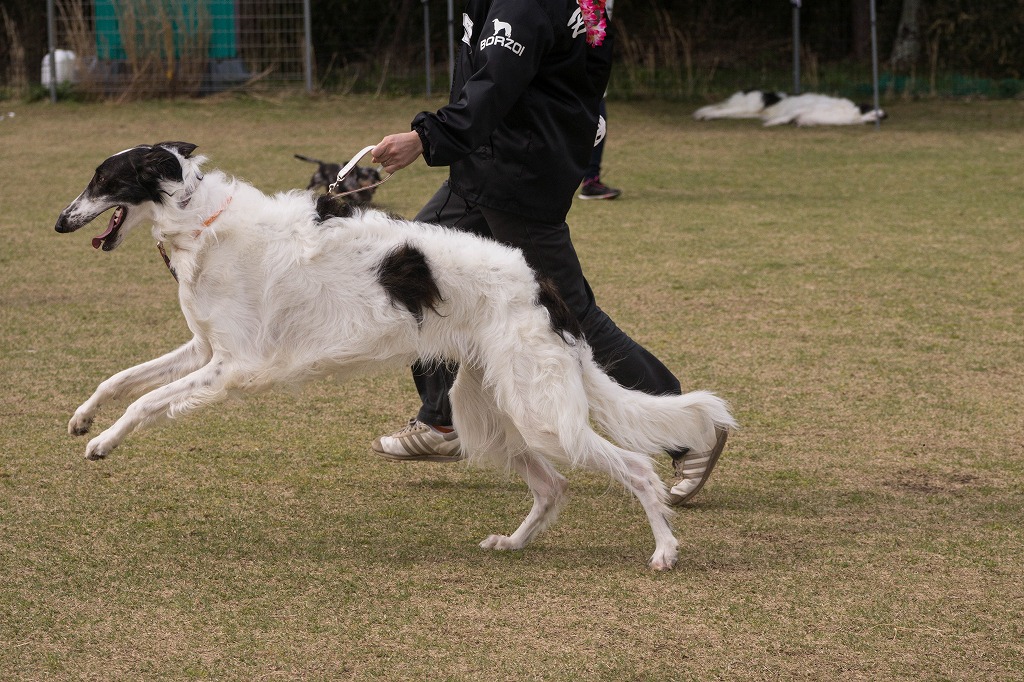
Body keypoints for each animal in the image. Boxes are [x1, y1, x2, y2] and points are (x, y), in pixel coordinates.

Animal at [54, 140, 737, 565]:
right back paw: (513, 544)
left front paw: (103, 442)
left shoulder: (231, 366)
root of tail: (539, 284)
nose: (60, 222)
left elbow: (145, 402)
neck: (203, 221)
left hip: (541, 414)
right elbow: (121, 378)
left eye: (104, 181)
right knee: (552, 487)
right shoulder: (203, 347)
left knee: (635, 469)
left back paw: (665, 550)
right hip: (491, 413)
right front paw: (84, 418)